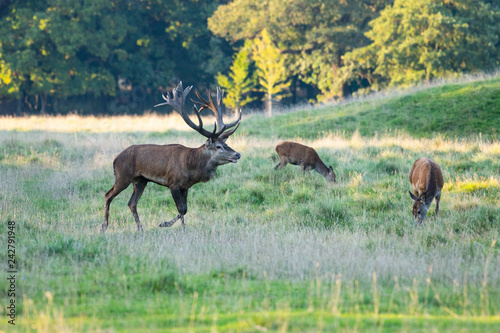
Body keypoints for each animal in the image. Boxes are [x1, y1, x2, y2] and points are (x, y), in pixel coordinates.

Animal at [101, 81, 240, 231]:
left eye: (226, 143)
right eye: (218, 146)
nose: (237, 154)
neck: (191, 169)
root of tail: (115, 159)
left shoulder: (185, 187)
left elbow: (185, 209)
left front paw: (183, 229)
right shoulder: (173, 182)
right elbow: (181, 209)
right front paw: (164, 224)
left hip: (140, 180)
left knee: (131, 203)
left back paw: (140, 228)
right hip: (123, 176)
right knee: (108, 195)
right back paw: (104, 226)